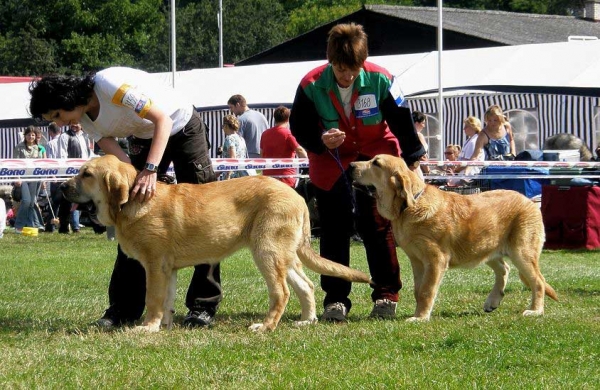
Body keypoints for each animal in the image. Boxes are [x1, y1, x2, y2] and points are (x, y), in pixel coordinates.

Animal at [62, 155, 370, 332]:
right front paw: (164, 326)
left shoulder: (154, 266)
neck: (131, 201)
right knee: (305, 286)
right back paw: (307, 320)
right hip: (285, 256)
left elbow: (153, 299)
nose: (63, 187)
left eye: (86, 174)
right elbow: (167, 300)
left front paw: (147, 327)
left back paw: (265, 327)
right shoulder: (168, 269)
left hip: (267, 252)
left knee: (281, 292)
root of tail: (297, 197)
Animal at [350, 154, 560, 322]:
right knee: (504, 269)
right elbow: (418, 290)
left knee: (538, 281)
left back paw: (535, 311)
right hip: (484, 247)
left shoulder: (436, 260)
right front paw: (420, 313)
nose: (351, 165)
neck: (409, 206)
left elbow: (426, 291)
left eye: (376, 163)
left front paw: (420, 317)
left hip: (521, 252)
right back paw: (492, 300)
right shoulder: (417, 261)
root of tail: (530, 201)